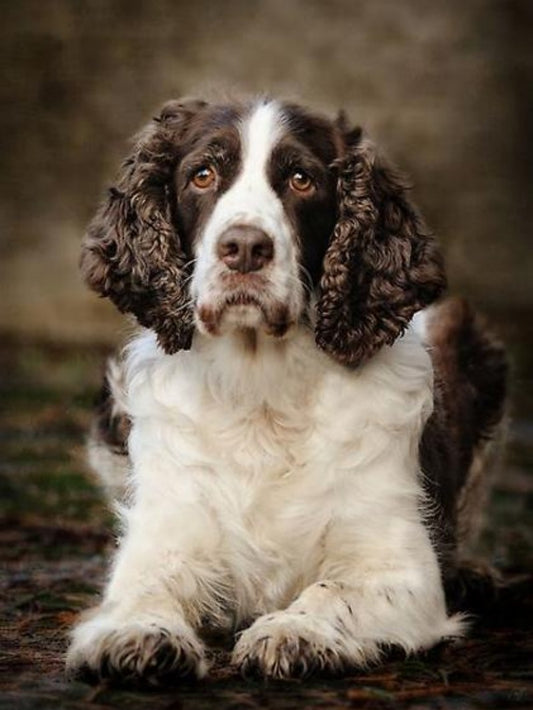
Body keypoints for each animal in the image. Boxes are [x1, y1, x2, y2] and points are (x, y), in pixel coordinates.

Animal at [67, 97, 508, 688]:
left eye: (302, 180)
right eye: (202, 175)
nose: (244, 248)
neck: (262, 394)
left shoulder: (399, 568)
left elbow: (332, 591)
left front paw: (295, 632)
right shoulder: (167, 537)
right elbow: (144, 588)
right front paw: (138, 633)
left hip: (467, 337)